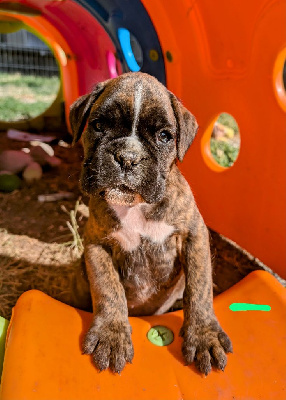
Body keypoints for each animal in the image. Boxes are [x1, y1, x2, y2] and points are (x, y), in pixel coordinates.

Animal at [70, 71, 232, 376]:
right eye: (98, 125)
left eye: (164, 136)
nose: (127, 157)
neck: (136, 207)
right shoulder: (96, 244)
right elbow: (108, 288)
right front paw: (112, 334)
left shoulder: (194, 236)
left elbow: (200, 287)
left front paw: (204, 335)